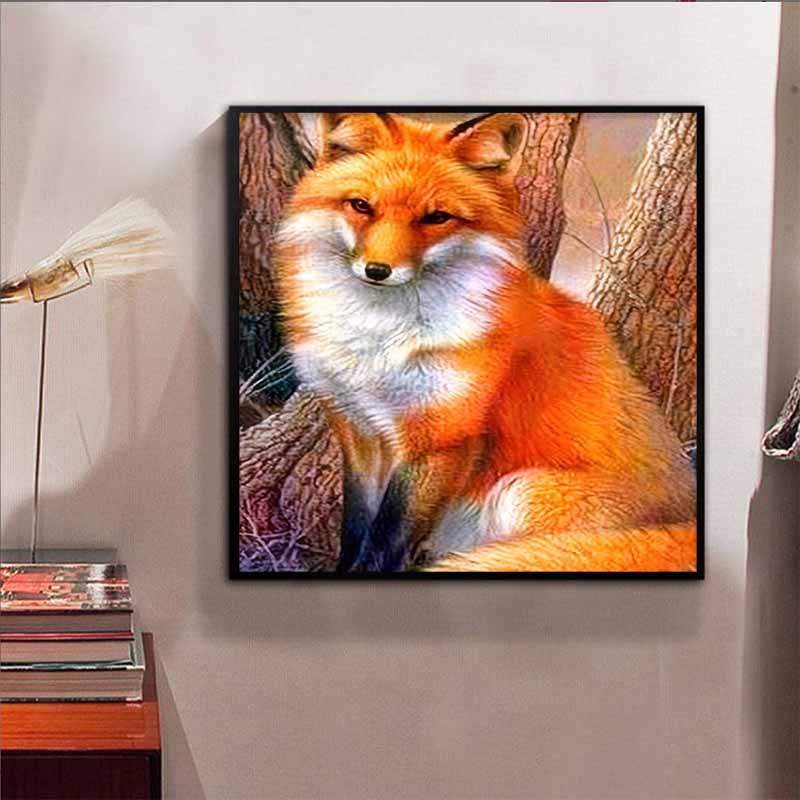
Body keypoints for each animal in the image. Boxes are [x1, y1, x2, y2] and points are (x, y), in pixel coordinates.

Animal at [274, 111, 696, 572]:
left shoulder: (442, 437)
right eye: (361, 206)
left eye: (436, 217)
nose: (377, 270)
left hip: (521, 493)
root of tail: (688, 517)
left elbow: (386, 539)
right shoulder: (358, 430)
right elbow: (356, 530)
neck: (379, 339)